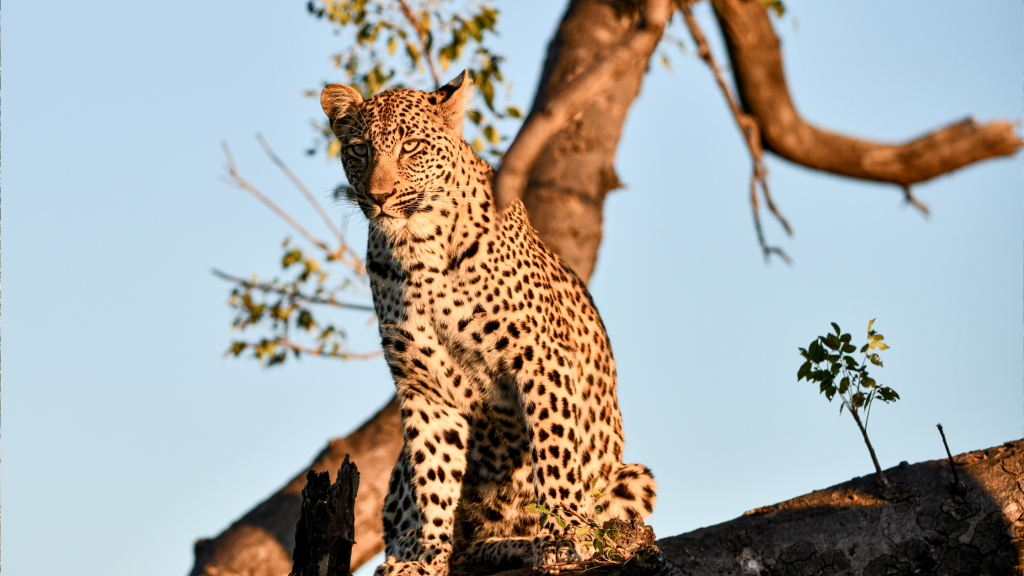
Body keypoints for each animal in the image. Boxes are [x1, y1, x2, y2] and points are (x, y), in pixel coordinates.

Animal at [319, 70, 655, 573]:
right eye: (360, 149)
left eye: (411, 146)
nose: (378, 197)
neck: (417, 248)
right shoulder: (424, 386)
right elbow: (433, 476)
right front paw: (425, 556)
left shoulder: (540, 359)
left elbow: (554, 452)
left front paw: (563, 536)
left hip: (634, 477)